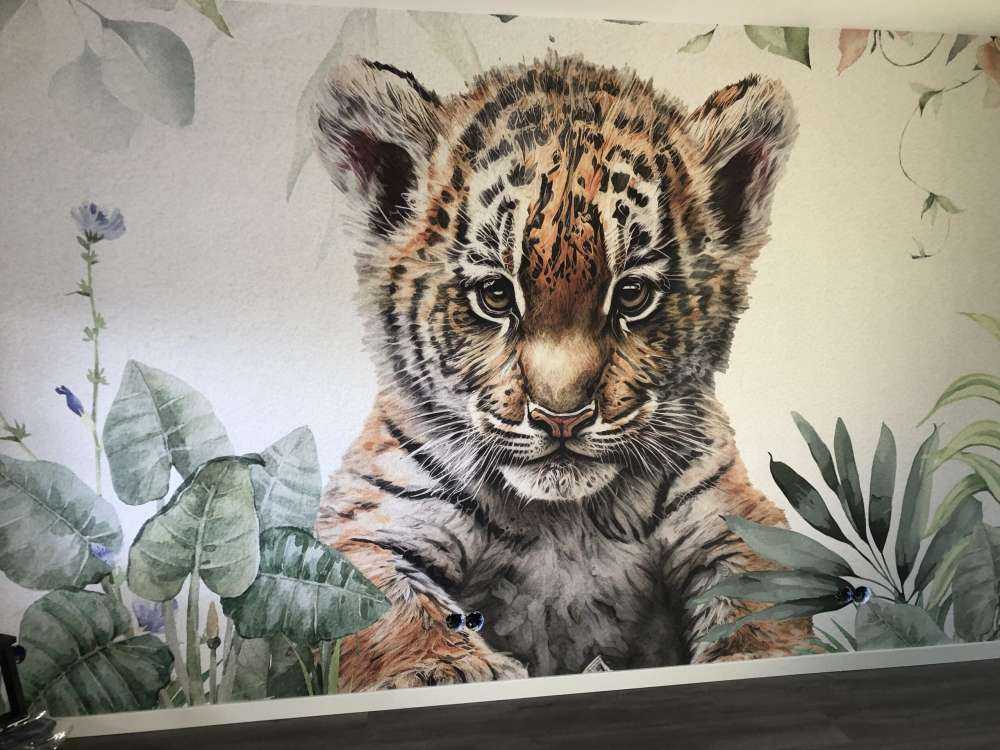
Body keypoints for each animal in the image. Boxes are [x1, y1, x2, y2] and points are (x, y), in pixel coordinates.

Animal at [312, 53, 811, 691]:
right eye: (496, 294)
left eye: (632, 294)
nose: (562, 418)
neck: (565, 522)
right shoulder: (369, 521)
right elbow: (390, 609)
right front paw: (447, 669)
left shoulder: (731, 516)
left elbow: (761, 597)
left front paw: (754, 660)